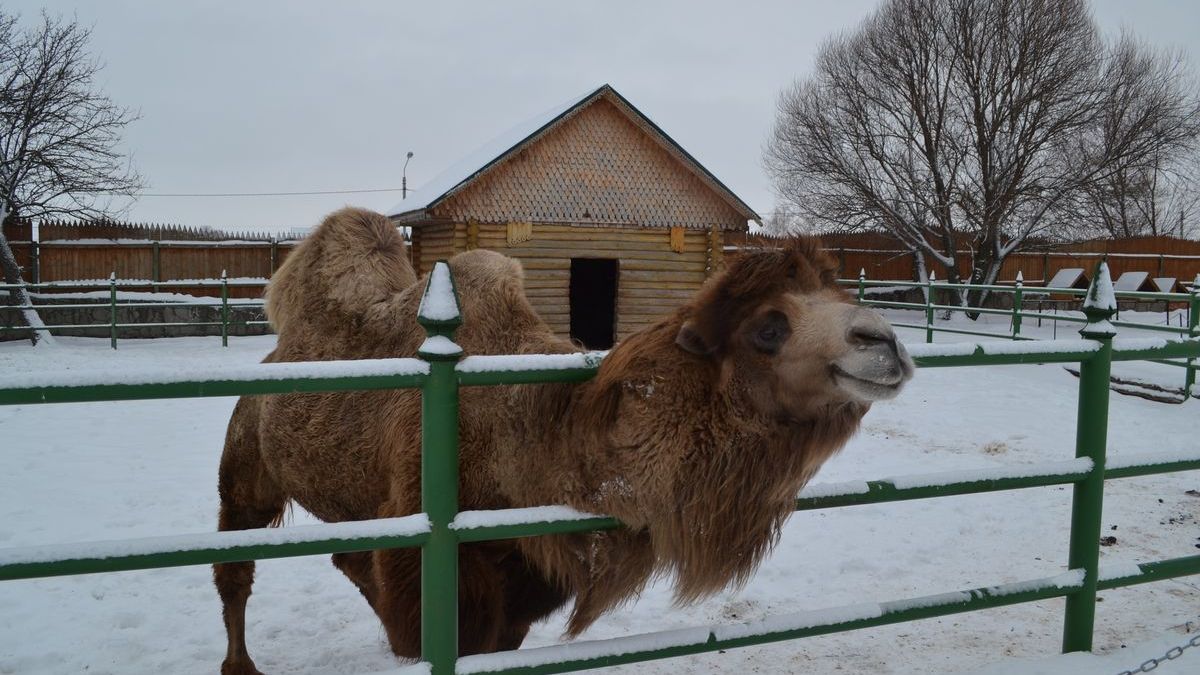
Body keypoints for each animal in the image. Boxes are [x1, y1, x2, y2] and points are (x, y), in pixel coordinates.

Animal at [213, 207, 907, 667]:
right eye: (768, 328)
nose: (886, 343)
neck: (529, 439)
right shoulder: (439, 559)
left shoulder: (523, 582)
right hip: (246, 456)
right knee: (236, 563)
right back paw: (240, 665)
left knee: (348, 558)